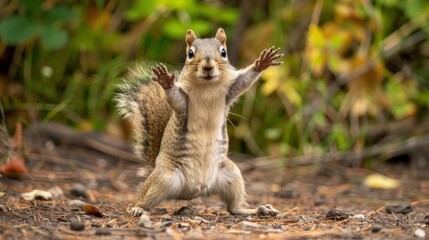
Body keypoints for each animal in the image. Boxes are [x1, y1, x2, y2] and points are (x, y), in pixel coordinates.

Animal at [116, 28, 284, 218]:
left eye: (223, 52)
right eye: (190, 53)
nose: (208, 66)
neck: (207, 87)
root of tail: (193, 191)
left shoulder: (230, 91)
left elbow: (244, 82)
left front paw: (262, 63)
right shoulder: (183, 104)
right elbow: (174, 98)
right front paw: (166, 81)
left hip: (232, 175)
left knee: (233, 208)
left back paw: (258, 209)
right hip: (163, 178)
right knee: (145, 197)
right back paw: (138, 208)